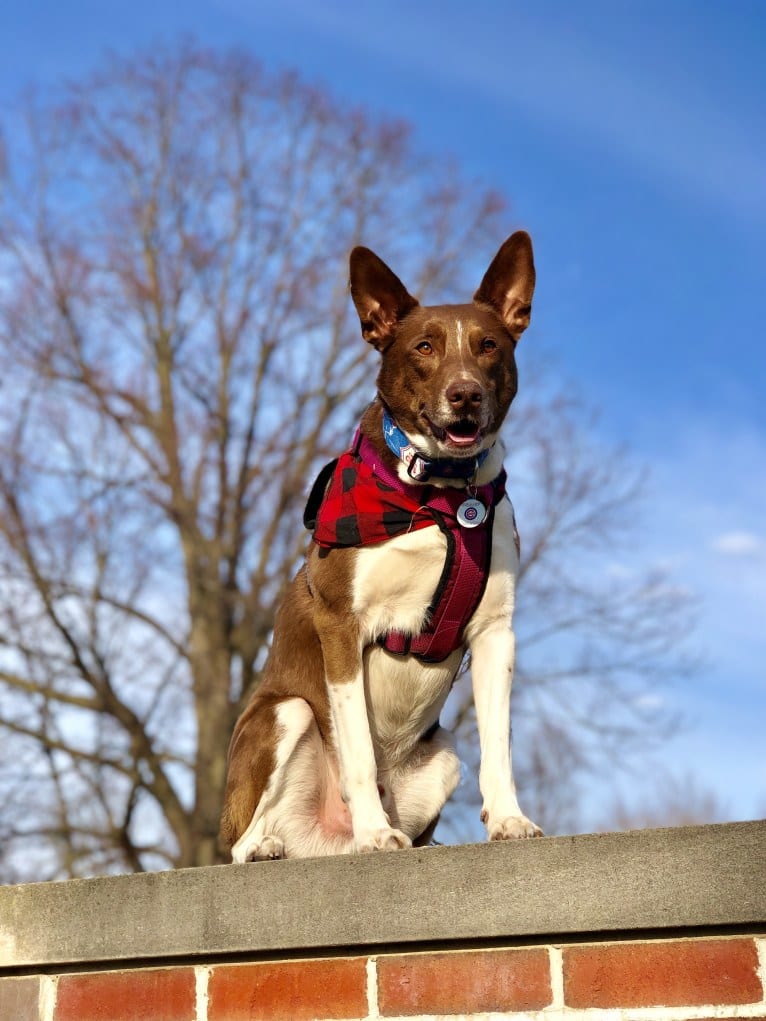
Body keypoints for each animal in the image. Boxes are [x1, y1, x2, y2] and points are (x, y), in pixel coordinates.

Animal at [218, 233, 543, 861]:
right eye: (424, 346)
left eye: (489, 345)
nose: (465, 395)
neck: (440, 495)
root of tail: (326, 841)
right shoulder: (341, 625)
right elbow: (359, 754)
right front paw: (375, 833)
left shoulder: (496, 632)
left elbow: (500, 744)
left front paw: (509, 820)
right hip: (284, 715)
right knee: (242, 837)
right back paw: (276, 845)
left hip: (443, 759)